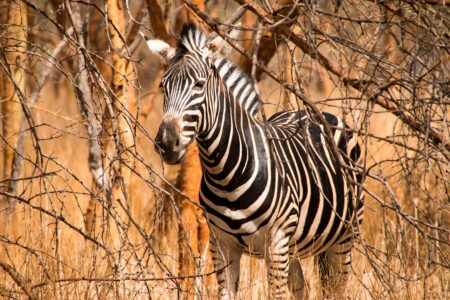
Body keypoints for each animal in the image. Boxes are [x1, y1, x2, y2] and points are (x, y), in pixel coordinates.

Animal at [146, 24, 364, 298]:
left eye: (198, 85)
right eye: (163, 86)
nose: (166, 142)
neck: (225, 174)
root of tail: (319, 113)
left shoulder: (277, 241)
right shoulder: (221, 245)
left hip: (345, 236)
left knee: (336, 287)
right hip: (295, 247)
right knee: (301, 288)